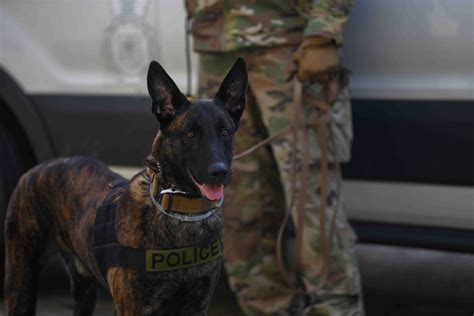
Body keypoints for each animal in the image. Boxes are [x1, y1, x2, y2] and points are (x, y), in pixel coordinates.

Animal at [3, 58, 248, 314]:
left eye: (225, 133)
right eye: (190, 134)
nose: (219, 172)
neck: (182, 213)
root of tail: (38, 167)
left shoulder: (197, 305)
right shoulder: (131, 307)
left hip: (84, 290)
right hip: (21, 278)